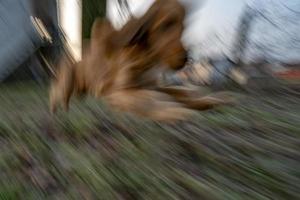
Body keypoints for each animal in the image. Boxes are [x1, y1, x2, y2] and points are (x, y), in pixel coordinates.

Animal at [49, 0, 233, 121]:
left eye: (184, 25)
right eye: (166, 25)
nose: (186, 59)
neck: (145, 59)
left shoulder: (152, 84)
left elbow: (180, 92)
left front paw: (209, 100)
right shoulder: (115, 91)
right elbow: (149, 100)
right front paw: (177, 111)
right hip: (67, 80)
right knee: (59, 97)